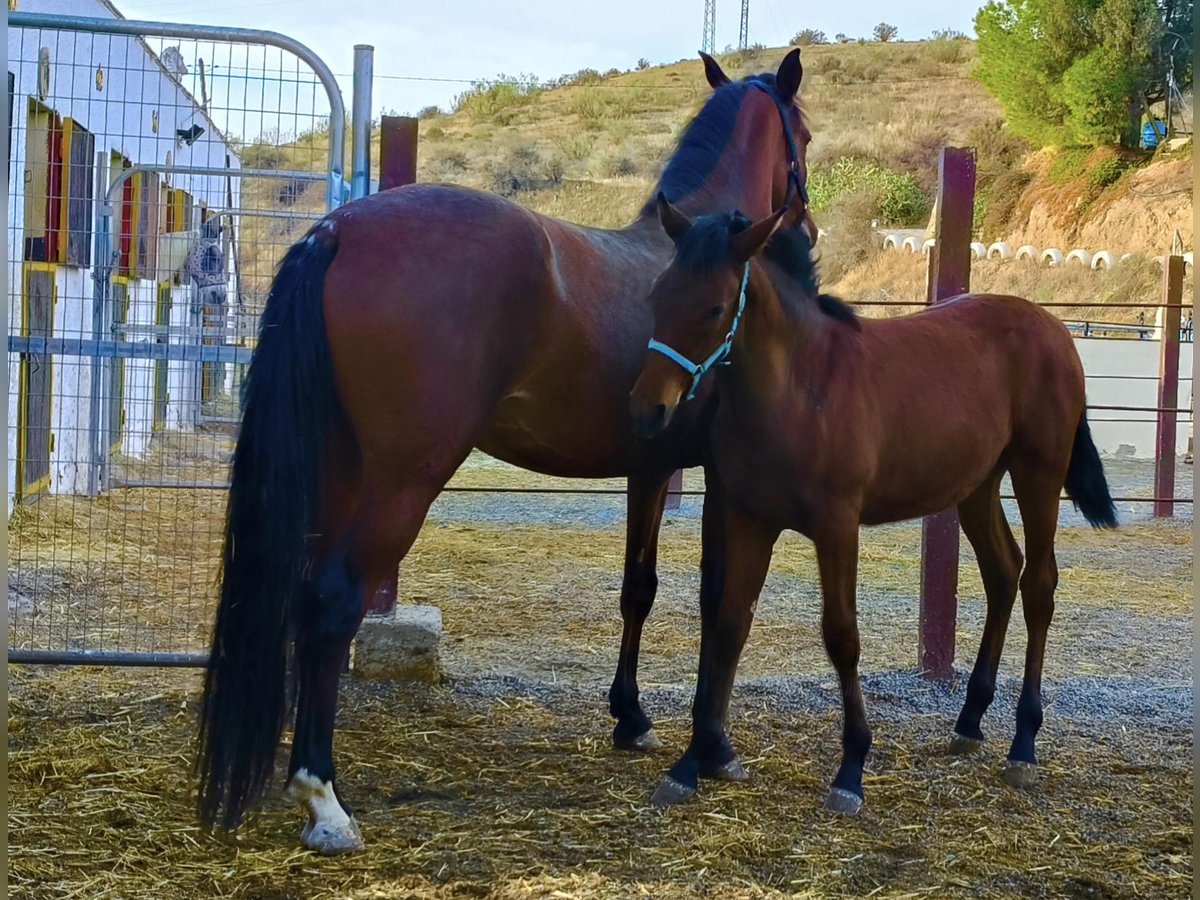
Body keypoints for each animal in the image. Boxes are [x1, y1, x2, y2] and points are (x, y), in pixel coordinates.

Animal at [196, 50, 817, 854]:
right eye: (805, 131)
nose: (808, 222)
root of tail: (336, 230)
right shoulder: (718, 480)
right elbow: (721, 600)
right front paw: (711, 748)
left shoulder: (650, 466)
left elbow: (638, 589)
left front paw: (630, 718)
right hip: (402, 480)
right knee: (335, 600)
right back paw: (323, 798)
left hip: (338, 471)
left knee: (306, 596)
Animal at [628, 197, 1118, 814]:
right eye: (657, 296)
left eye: (715, 307)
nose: (647, 411)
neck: (801, 389)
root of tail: (1053, 326)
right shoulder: (750, 520)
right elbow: (730, 622)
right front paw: (691, 763)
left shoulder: (838, 526)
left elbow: (841, 635)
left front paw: (851, 768)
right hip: (977, 487)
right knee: (1003, 572)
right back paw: (969, 721)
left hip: (1038, 476)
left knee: (1040, 586)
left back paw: (1023, 745)